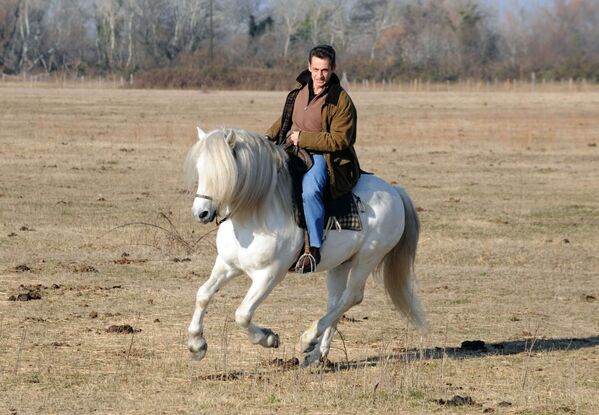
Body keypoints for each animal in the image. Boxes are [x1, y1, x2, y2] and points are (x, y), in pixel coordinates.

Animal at [185, 127, 424, 368]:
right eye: (200, 170)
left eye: (224, 172)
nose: (200, 213)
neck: (254, 215)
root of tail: (395, 192)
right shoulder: (227, 265)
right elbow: (202, 294)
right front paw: (197, 344)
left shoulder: (269, 275)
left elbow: (242, 314)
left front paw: (268, 338)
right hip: (341, 264)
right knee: (336, 302)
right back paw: (317, 354)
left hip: (367, 258)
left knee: (351, 297)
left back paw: (307, 340)